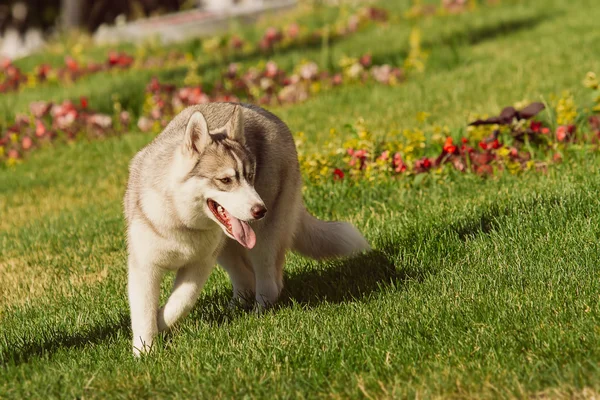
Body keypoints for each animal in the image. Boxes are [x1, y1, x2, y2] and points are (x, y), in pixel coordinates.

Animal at [123, 103, 370, 356]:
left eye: (250, 176)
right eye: (225, 180)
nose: (261, 210)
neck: (182, 221)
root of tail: (260, 110)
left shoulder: (199, 265)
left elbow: (180, 303)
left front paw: (159, 323)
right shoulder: (145, 266)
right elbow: (145, 311)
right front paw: (144, 351)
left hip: (262, 240)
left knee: (269, 282)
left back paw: (259, 312)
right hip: (226, 247)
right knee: (245, 277)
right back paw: (235, 307)